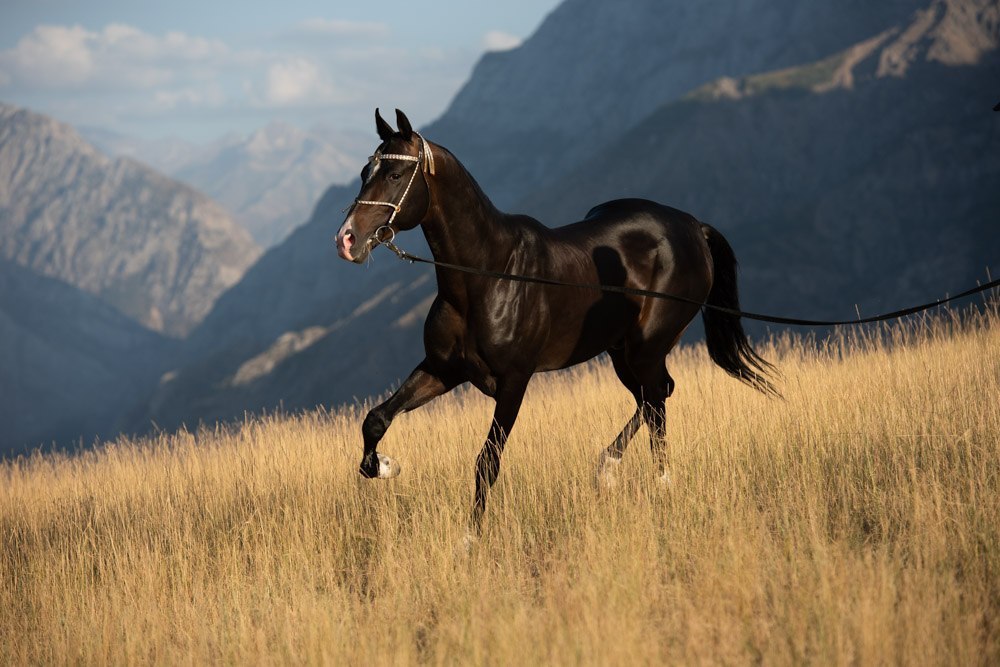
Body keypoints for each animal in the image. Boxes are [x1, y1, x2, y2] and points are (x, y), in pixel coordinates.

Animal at [332, 109, 776, 536]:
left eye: (394, 174)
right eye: (364, 172)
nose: (347, 240)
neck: (488, 275)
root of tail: (693, 227)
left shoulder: (513, 382)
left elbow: (486, 462)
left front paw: (469, 539)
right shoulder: (443, 371)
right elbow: (376, 419)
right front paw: (385, 465)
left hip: (646, 347)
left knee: (656, 403)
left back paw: (660, 484)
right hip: (620, 351)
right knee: (653, 398)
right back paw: (608, 469)